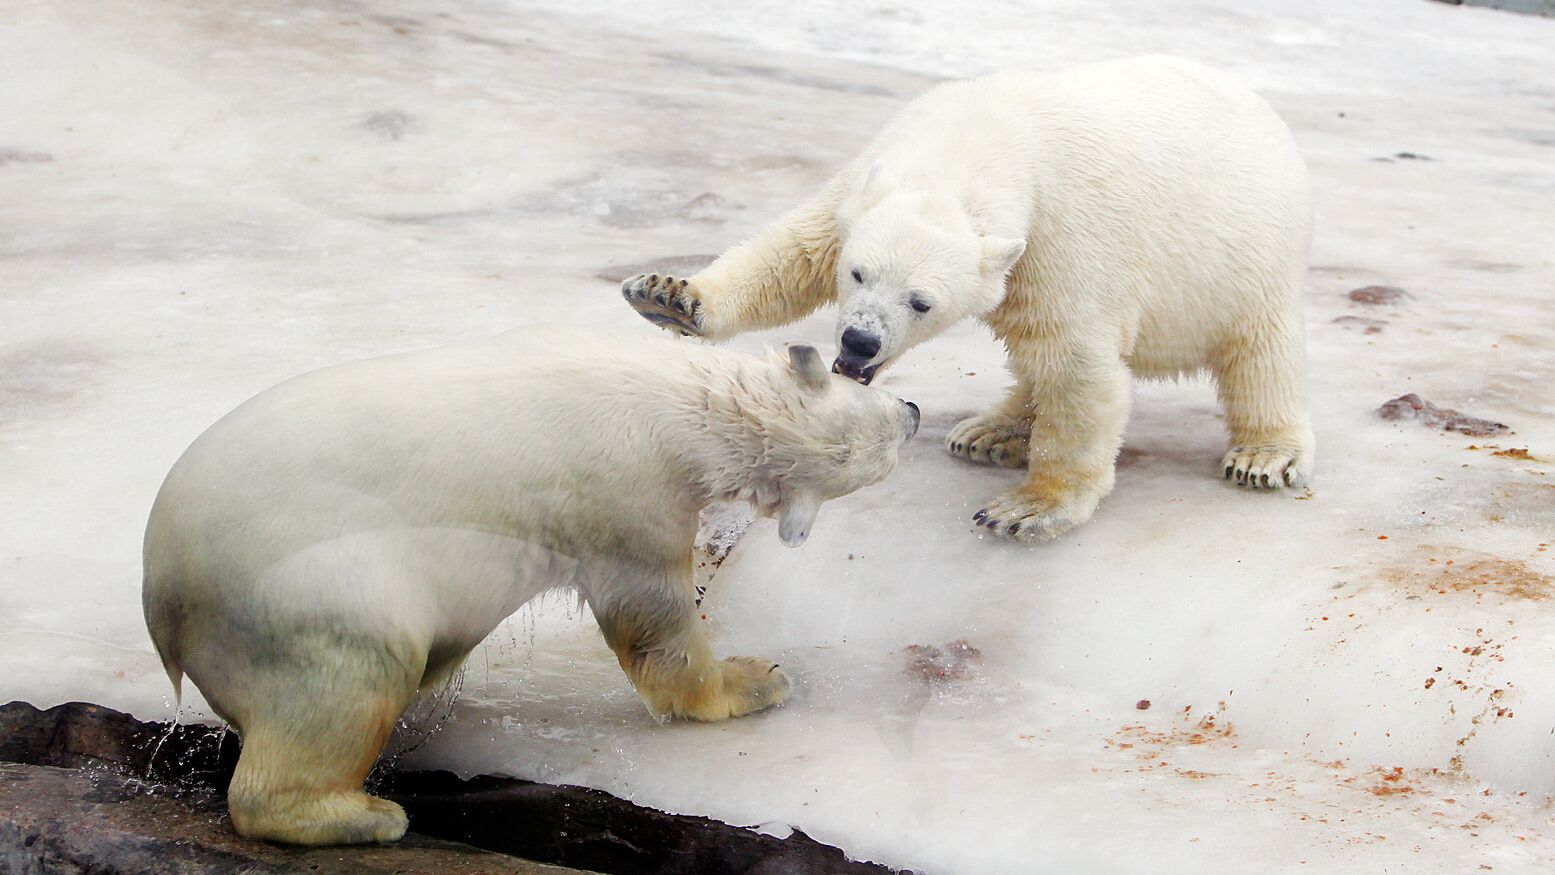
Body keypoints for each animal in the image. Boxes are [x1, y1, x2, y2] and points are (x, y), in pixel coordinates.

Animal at [139, 324, 914, 845]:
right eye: (881, 436)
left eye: (874, 401)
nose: (909, 414)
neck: (681, 403)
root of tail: (164, 600)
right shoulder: (631, 492)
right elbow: (651, 621)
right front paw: (752, 679)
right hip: (310, 590)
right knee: (347, 679)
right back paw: (364, 813)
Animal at [618, 54, 1312, 540]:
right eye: (857, 274)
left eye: (921, 302)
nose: (858, 341)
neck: (981, 137)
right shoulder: (869, 179)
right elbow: (795, 250)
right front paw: (669, 296)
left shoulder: (1061, 235)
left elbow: (1079, 366)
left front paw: (1027, 510)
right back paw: (991, 430)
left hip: (1250, 257)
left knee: (1261, 354)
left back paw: (1263, 454)